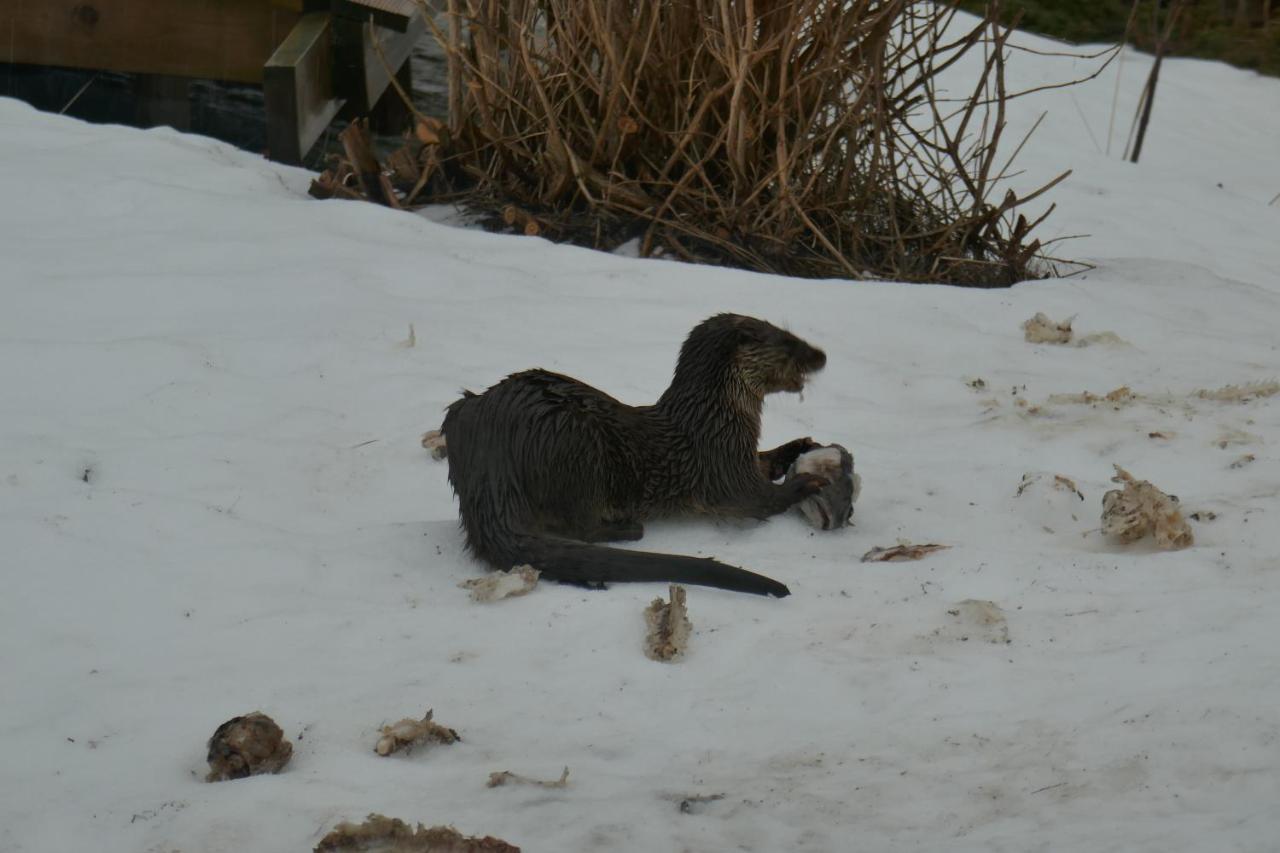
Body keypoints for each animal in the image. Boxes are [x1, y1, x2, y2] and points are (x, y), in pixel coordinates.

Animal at [440, 308, 829, 594]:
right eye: (789, 342)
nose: (821, 355)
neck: (716, 417)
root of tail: (489, 467)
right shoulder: (721, 466)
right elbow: (758, 500)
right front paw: (805, 483)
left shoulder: (739, 454)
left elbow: (764, 462)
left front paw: (799, 447)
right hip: (576, 446)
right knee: (580, 526)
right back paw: (628, 529)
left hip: (462, 413)